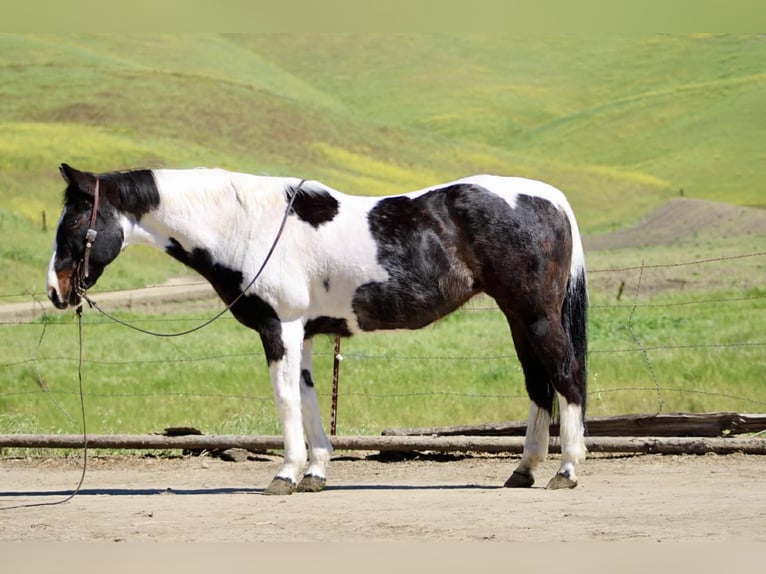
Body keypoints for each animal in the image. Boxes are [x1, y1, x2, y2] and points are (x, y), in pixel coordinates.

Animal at [47, 163, 588, 494]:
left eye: (72, 222)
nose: (55, 291)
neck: (247, 226)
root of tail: (552, 198)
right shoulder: (303, 333)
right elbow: (307, 400)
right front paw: (315, 471)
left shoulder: (279, 328)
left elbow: (285, 400)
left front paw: (285, 475)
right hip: (518, 317)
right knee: (538, 385)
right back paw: (523, 471)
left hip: (536, 315)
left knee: (566, 378)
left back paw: (566, 469)